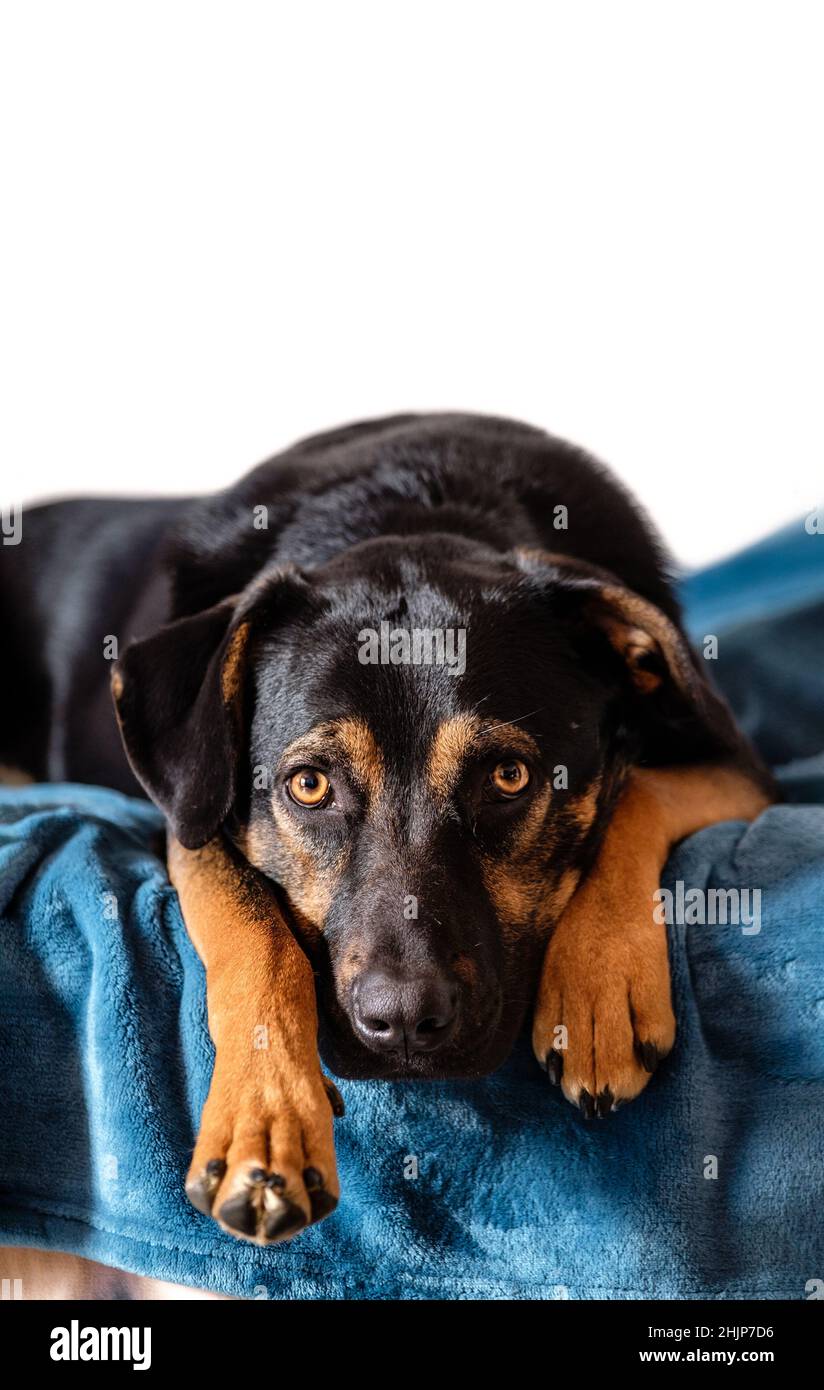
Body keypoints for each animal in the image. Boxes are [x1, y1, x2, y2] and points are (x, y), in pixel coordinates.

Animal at [0, 414, 772, 1251]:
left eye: (509, 776)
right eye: (309, 785)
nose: (403, 1023)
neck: (409, 506)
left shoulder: (738, 766)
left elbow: (639, 793)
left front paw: (598, 984)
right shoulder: (189, 816)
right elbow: (250, 924)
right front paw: (265, 1121)